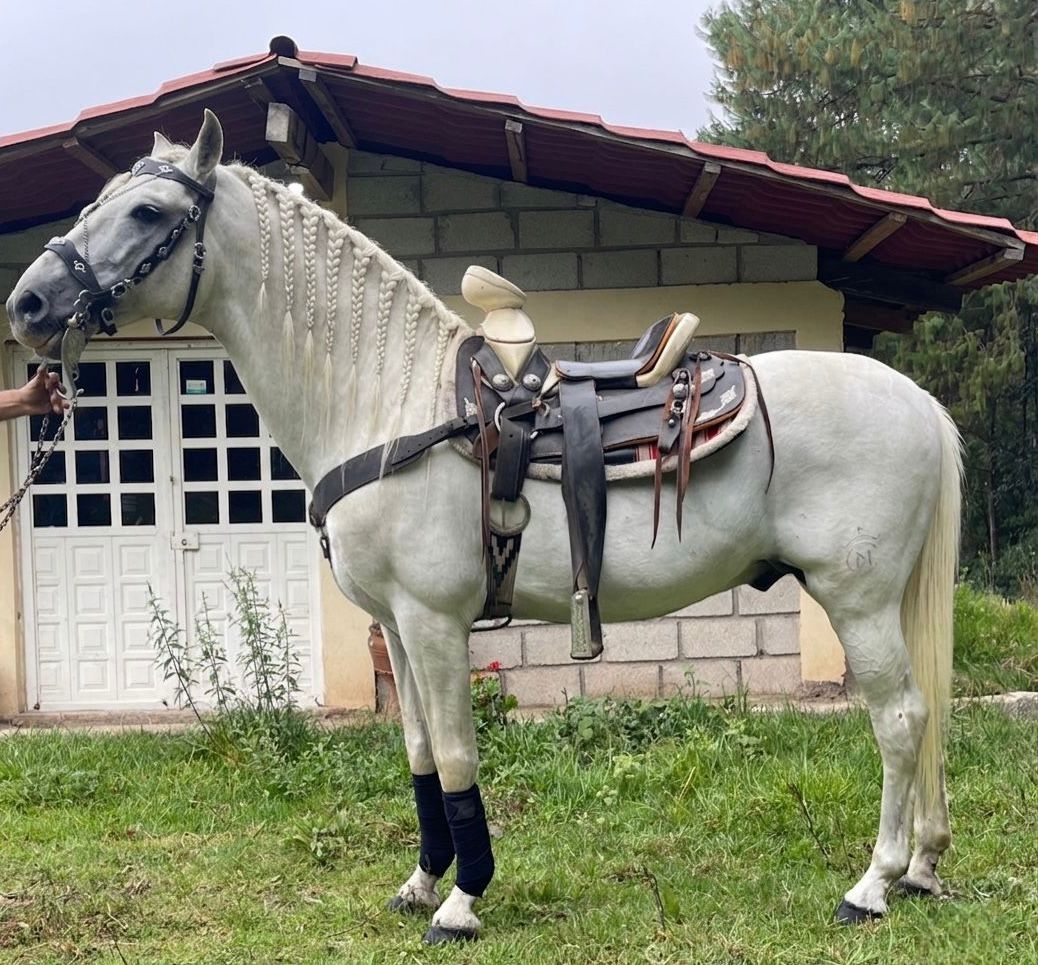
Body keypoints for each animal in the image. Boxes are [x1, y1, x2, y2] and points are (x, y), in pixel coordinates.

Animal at [7, 110, 961, 943]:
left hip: (857, 598)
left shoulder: (435, 622)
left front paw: (462, 901)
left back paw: (872, 884)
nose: (29, 303)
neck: (389, 406)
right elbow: (422, 756)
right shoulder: (395, 626)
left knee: (900, 717)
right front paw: (420, 879)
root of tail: (919, 401)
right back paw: (922, 866)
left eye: (146, 211)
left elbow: (461, 758)